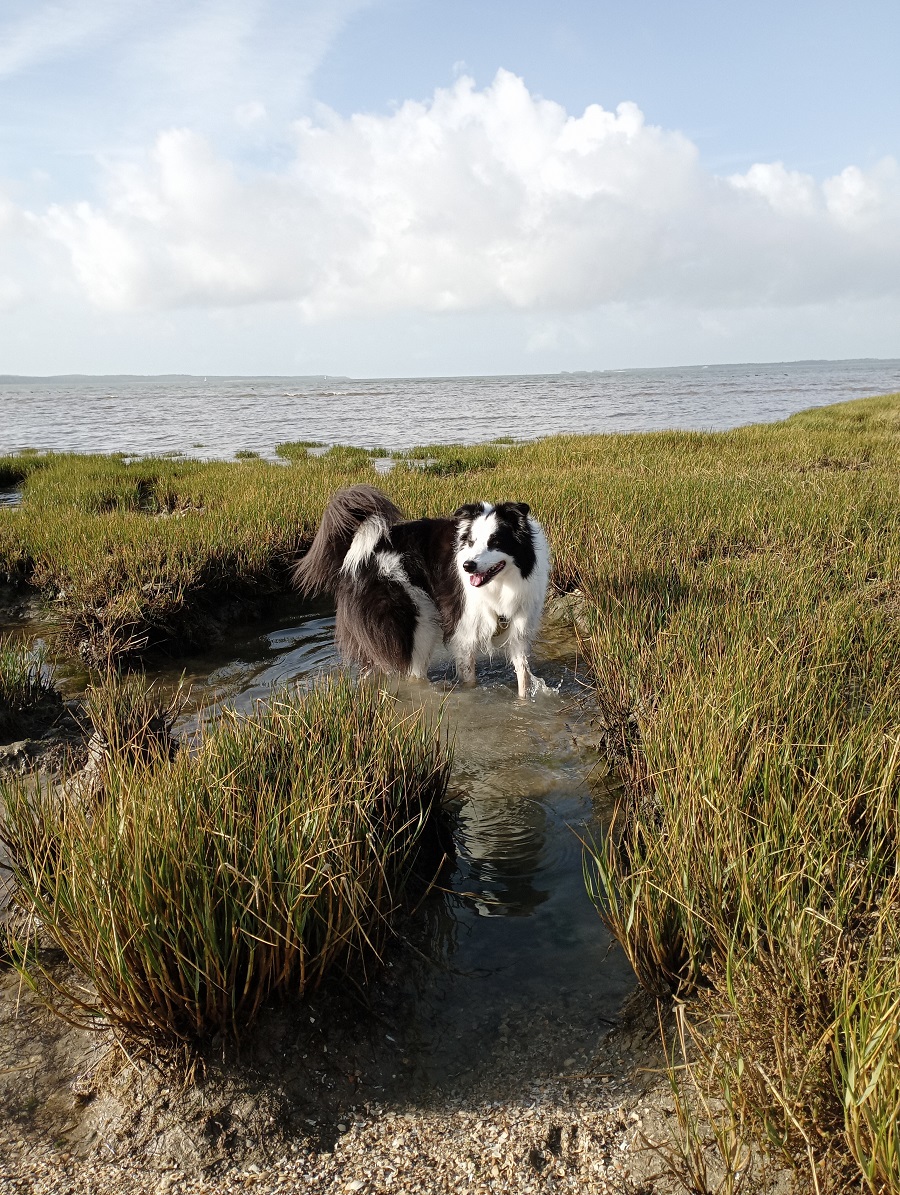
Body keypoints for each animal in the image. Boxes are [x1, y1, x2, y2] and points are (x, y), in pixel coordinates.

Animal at [295, 480, 547, 697]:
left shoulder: (518, 628)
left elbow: (523, 676)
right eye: (471, 542)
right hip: (417, 622)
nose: (467, 566)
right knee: (412, 674)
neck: (502, 584)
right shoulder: (464, 632)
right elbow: (470, 680)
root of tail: (356, 552)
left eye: (495, 542)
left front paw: (524, 704)